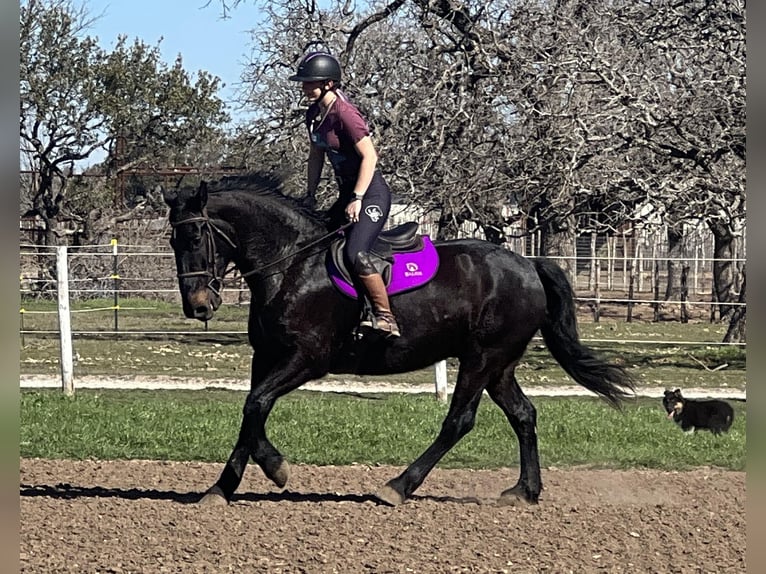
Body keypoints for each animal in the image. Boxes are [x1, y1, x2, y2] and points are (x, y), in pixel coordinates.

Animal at [164, 174, 636, 508]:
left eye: (195, 237)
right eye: (172, 239)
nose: (198, 306)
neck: (292, 264)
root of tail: (528, 265)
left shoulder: (306, 359)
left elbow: (256, 404)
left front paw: (273, 470)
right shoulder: (266, 357)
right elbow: (252, 414)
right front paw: (225, 487)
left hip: (482, 358)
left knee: (458, 421)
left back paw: (398, 486)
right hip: (499, 365)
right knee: (523, 415)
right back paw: (525, 491)